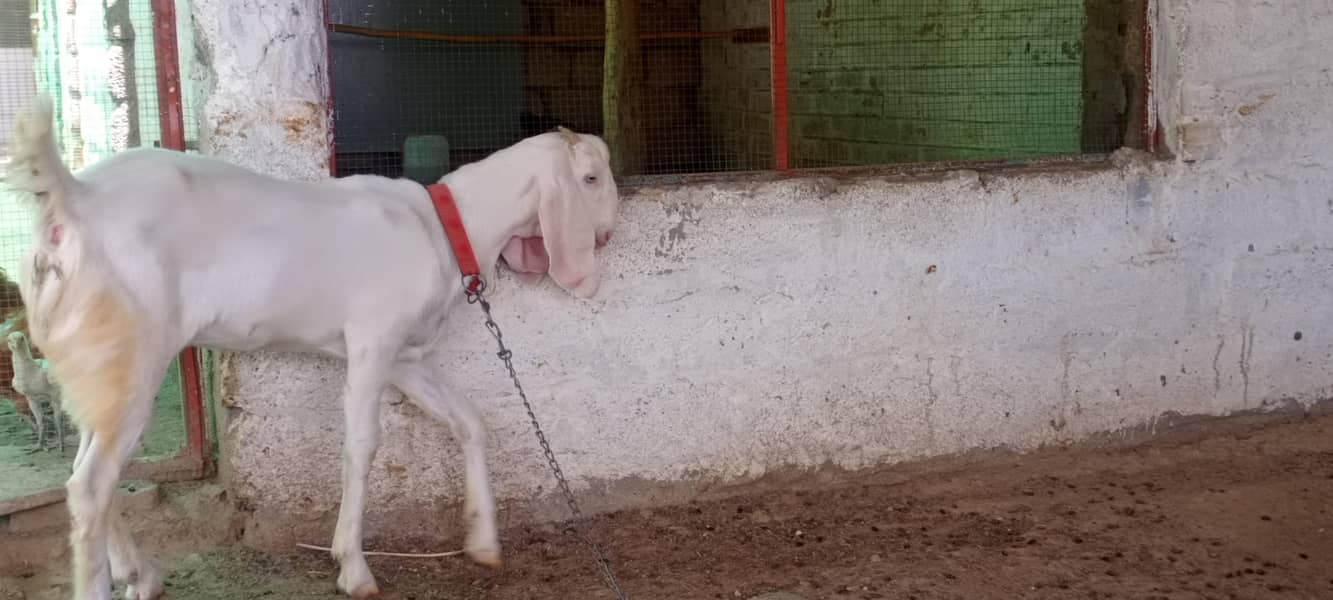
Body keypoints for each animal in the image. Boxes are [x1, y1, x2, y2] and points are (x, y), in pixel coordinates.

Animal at [7, 94, 620, 600]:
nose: (610, 232)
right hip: (133, 352)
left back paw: (141, 575)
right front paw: (353, 567)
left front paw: (484, 541)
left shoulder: (406, 357)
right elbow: (362, 445)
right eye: (590, 177)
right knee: (90, 484)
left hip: (99, 362)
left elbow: (469, 421)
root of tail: (75, 199)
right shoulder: (372, 340)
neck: (444, 228)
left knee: (87, 471)